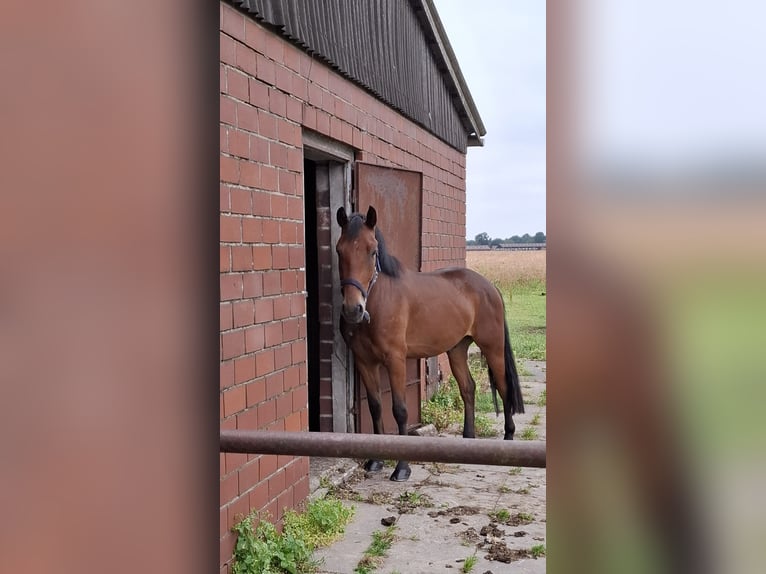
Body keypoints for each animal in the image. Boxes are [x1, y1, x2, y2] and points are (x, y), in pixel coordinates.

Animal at [335, 205, 525, 481]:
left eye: (372, 252)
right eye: (340, 250)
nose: (353, 309)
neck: (380, 299)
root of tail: (489, 285)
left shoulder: (395, 360)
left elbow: (400, 410)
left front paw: (402, 468)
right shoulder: (364, 361)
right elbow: (376, 407)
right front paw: (375, 460)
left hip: (493, 348)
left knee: (503, 387)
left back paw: (508, 437)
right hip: (457, 350)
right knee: (468, 388)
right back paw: (468, 439)